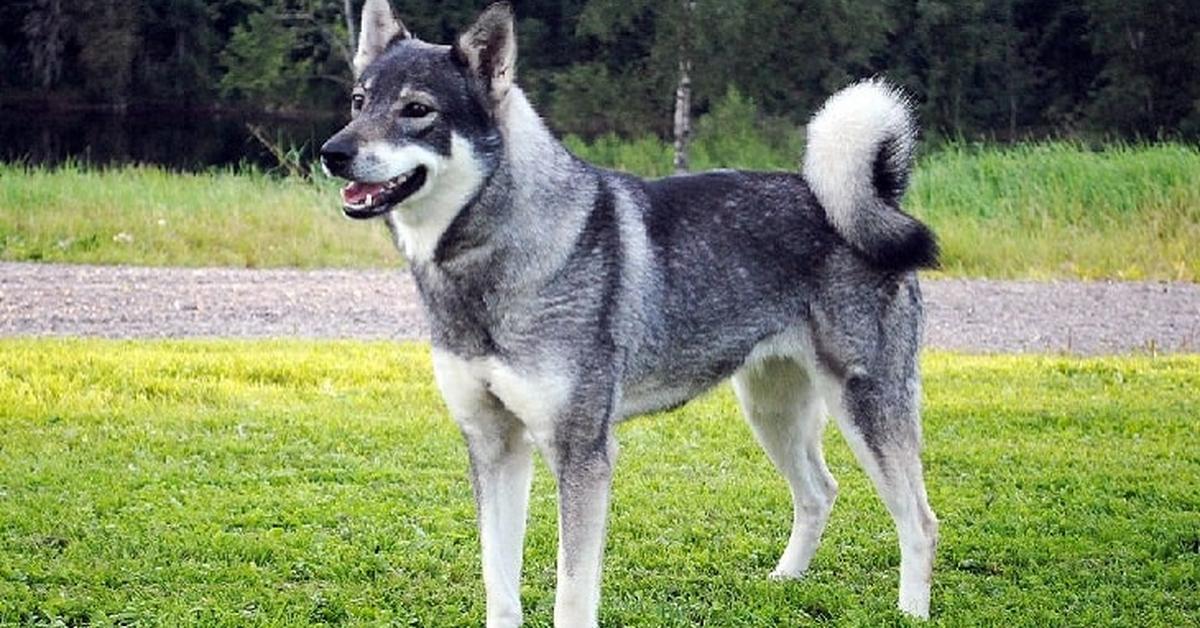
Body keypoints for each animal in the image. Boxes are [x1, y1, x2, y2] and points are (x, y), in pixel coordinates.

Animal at [324, 1, 940, 624]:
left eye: (417, 110)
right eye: (358, 101)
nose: (332, 153)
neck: (494, 261)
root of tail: (874, 202)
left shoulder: (582, 456)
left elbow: (572, 593)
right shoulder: (495, 448)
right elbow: (499, 585)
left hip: (866, 408)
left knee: (919, 521)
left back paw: (910, 610)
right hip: (772, 410)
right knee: (820, 492)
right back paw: (784, 579)